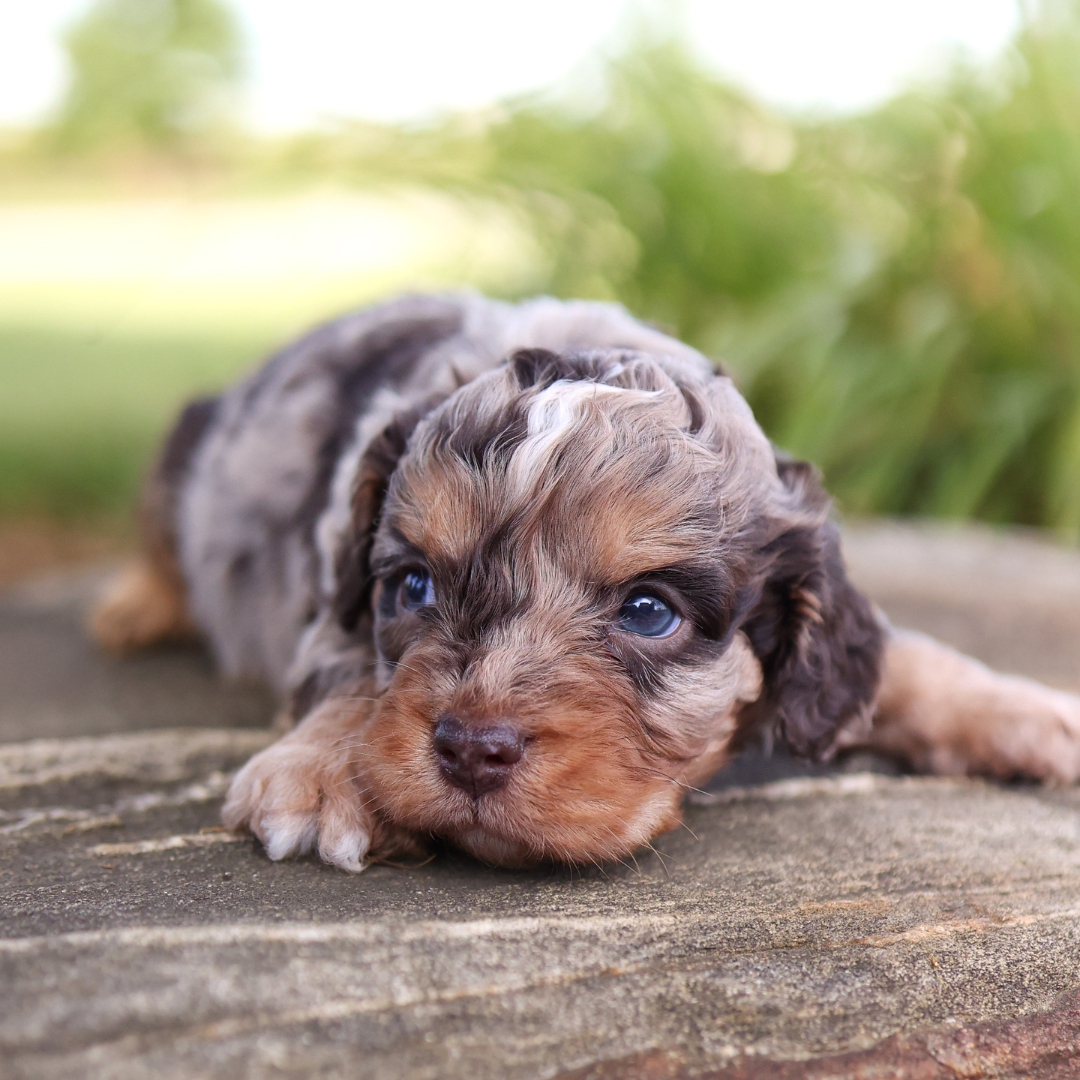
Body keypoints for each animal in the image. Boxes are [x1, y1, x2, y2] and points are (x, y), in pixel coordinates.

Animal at [90, 293, 1080, 868]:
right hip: (184, 448)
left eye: (648, 612)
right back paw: (133, 605)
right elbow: (348, 667)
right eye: (412, 589)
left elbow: (908, 659)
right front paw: (323, 771)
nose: (470, 749)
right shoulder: (331, 596)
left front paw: (1035, 715)